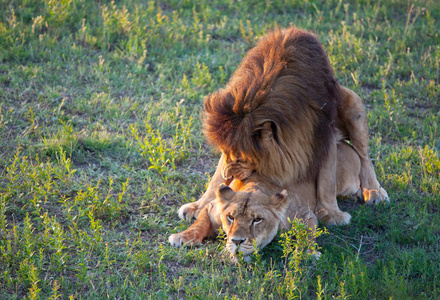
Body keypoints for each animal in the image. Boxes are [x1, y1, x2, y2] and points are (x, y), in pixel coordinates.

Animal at [168, 141, 360, 260]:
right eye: (231, 217)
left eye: (257, 220)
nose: (237, 242)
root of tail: (342, 143)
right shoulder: (213, 208)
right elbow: (199, 223)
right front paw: (182, 236)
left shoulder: (305, 215)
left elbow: (307, 234)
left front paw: (309, 252)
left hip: (346, 182)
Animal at [179, 27, 388, 225]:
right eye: (224, 151)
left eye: (241, 158)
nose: (228, 176)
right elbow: (215, 180)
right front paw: (198, 205)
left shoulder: (323, 131)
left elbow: (327, 180)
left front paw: (331, 213)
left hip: (353, 103)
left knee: (364, 156)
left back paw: (373, 191)